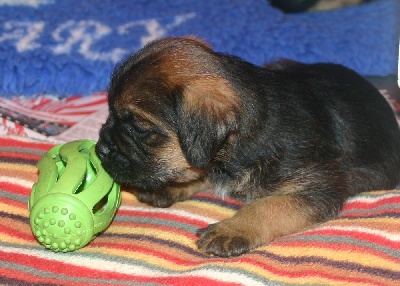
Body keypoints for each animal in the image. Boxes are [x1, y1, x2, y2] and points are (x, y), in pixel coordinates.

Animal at [96, 35, 400, 256]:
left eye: (140, 128)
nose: (100, 150)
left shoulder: (319, 187)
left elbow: (270, 206)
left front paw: (232, 229)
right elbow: (202, 172)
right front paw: (171, 186)